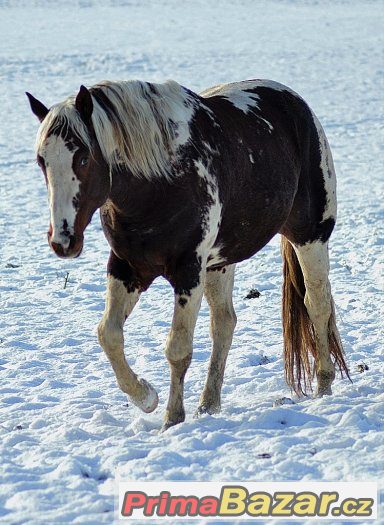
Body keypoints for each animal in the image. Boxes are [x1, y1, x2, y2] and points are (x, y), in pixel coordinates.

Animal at [26, 79, 348, 430]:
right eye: (42, 160)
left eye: (83, 158)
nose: (63, 240)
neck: (158, 183)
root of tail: (294, 102)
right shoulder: (126, 268)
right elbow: (108, 334)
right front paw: (146, 397)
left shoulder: (188, 271)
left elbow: (178, 349)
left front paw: (172, 418)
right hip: (220, 263)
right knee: (224, 323)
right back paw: (208, 405)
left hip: (310, 237)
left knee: (317, 305)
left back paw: (323, 385)